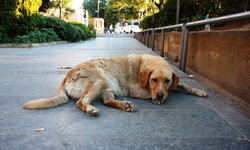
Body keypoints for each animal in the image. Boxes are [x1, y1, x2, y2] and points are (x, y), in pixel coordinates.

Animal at [23, 54, 207, 116]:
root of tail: (67, 75)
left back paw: (125, 105)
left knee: (107, 101)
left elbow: (183, 86)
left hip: (107, 87)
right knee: (81, 102)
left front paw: (198, 90)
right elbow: (154, 94)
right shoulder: (137, 90)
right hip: (98, 79)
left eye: (167, 80)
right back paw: (91, 109)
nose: (160, 94)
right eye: (154, 80)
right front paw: (158, 98)